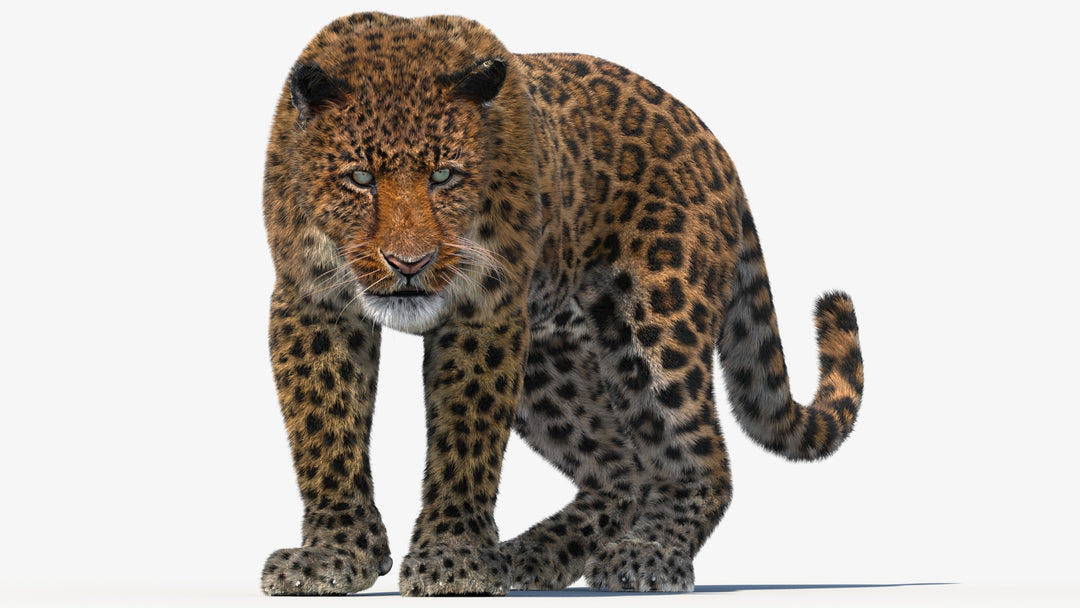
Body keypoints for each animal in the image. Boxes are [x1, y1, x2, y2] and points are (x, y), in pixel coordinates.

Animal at [259, 12, 864, 596]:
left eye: (444, 175)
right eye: (360, 177)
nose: (409, 263)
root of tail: (717, 149)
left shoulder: (487, 312)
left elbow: (466, 437)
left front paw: (453, 561)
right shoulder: (313, 304)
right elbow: (324, 426)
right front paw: (336, 556)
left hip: (658, 323)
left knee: (699, 458)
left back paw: (645, 555)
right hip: (548, 363)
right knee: (622, 470)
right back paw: (528, 555)